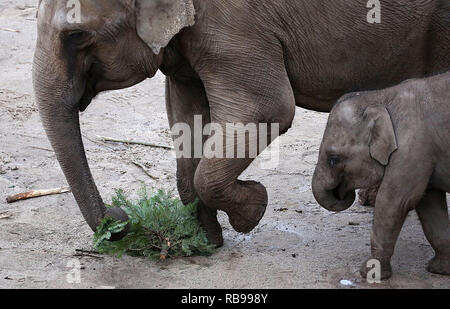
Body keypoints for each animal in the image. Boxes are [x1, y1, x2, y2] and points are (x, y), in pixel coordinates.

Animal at [34, 0, 450, 245]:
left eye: (76, 35)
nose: (119, 219)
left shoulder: (235, 24)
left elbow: (266, 108)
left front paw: (251, 212)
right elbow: (186, 116)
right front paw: (207, 241)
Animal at [312, 72, 450, 280]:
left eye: (333, 159)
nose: (347, 193)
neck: (381, 97)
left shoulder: (411, 148)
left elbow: (394, 201)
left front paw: (370, 273)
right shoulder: (426, 154)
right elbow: (429, 203)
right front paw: (440, 270)